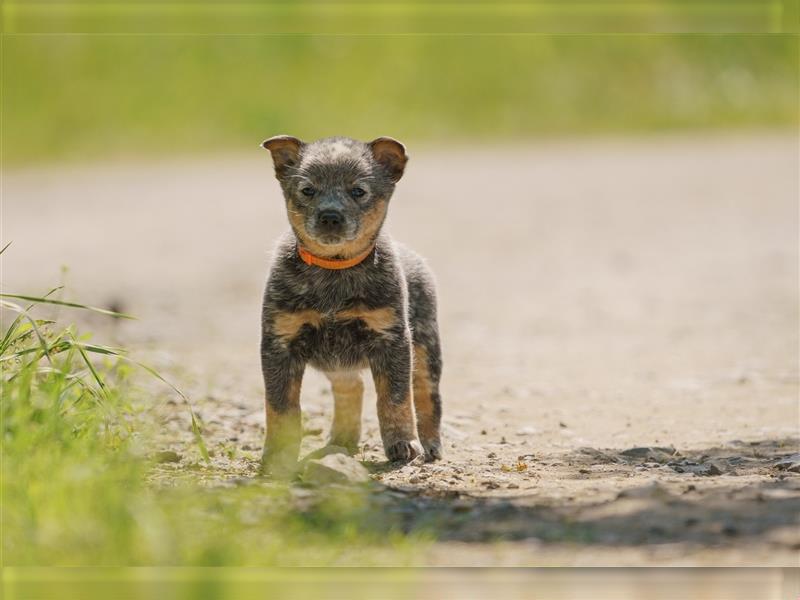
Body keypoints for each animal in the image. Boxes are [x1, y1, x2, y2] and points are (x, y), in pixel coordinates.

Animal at [258, 137, 440, 478]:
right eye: (308, 190)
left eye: (358, 191)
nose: (330, 216)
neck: (334, 269)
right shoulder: (279, 343)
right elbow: (281, 408)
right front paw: (277, 455)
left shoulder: (392, 339)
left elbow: (395, 397)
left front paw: (402, 443)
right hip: (337, 363)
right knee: (351, 387)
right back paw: (342, 439)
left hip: (425, 345)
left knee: (426, 393)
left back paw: (431, 443)